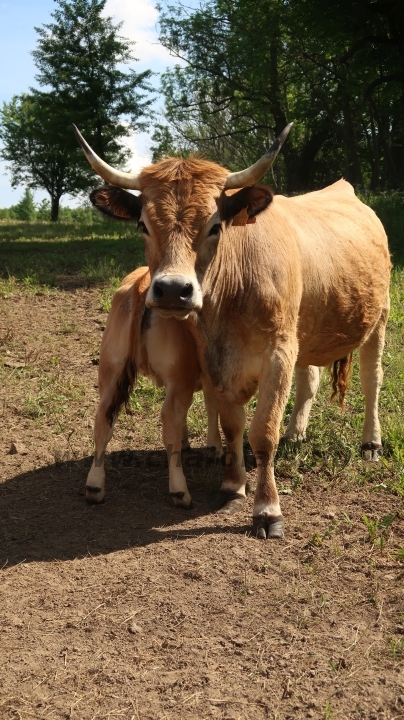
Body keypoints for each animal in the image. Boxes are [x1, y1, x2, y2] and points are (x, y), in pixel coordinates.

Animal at [86, 268, 223, 510]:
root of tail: (143, 282)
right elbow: (211, 405)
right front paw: (214, 448)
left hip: (111, 372)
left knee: (102, 420)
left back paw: (94, 487)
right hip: (179, 377)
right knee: (170, 420)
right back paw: (180, 492)